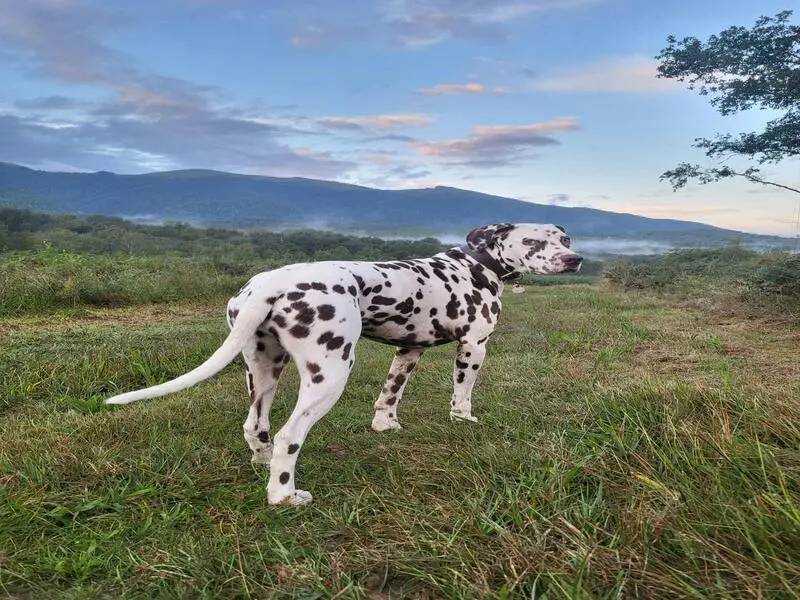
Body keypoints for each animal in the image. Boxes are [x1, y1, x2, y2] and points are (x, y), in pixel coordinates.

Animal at [106, 224, 580, 506]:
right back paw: (284, 497)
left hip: (263, 371)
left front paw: (385, 426)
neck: (476, 264)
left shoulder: (408, 352)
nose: (573, 260)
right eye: (534, 242)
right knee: (288, 436)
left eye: (566, 240)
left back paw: (262, 463)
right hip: (329, 376)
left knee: (256, 426)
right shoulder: (474, 346)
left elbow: (389, 396)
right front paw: (464, 420)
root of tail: (267, 284)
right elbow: (462, 394)